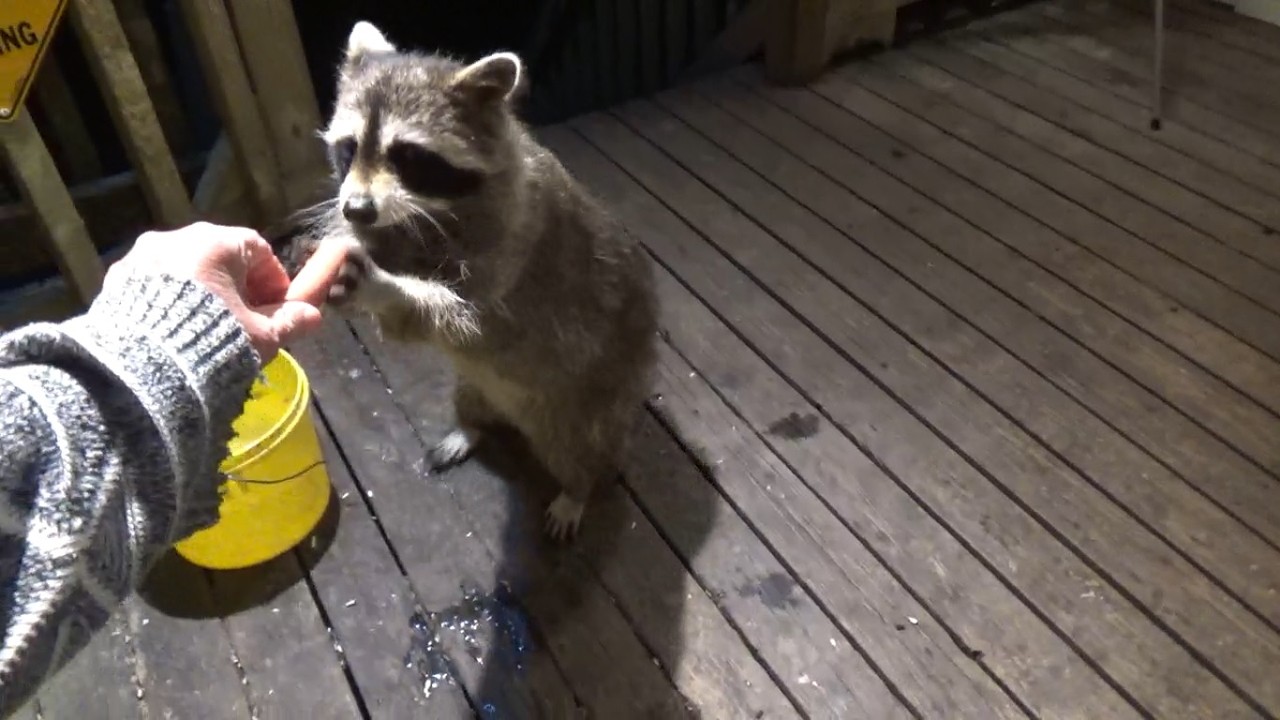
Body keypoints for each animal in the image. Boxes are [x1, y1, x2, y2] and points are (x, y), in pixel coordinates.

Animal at [296, 21, 659, 541]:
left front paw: (388, 289)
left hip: (587, 403)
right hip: (479, 385)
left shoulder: (515, 244)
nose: (357, 209)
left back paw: (578, 489)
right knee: (472, 398)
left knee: (581, 450)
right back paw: (471, 426)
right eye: (349, 148)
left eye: (408, 155)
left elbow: (466, 320)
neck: (433, 211)